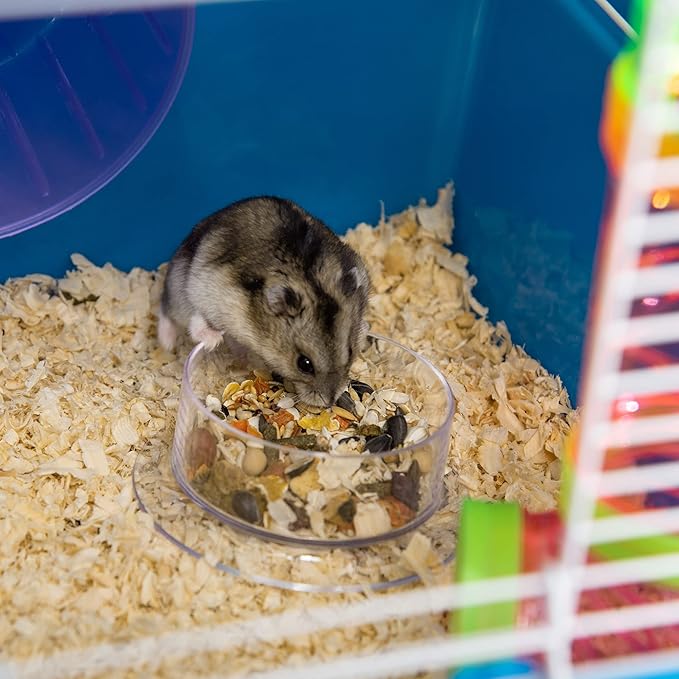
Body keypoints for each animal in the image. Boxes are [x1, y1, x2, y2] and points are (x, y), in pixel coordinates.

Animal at [158, 196, 371, 408]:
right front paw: (214, 341)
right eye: (304, 364)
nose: (330, 402)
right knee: (170, 312)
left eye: (350, 351)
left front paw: (364, 328)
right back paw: (171, 343)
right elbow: (197, 320)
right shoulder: (210, 295)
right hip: (180, 287)